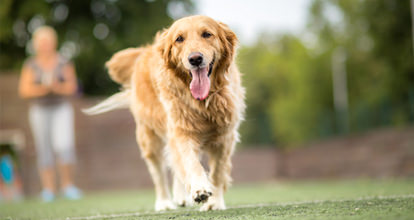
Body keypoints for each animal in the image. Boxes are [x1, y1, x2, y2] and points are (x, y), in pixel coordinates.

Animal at [85, 15, 244, 211]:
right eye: (179, 39)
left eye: (207, 34)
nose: (195, 59)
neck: (203, 101)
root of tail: (145, 51)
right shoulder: (181, 131)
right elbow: (190, 162)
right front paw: (199, 188)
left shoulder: (225, 136)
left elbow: (218, 172)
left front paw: (214, 202)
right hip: (149, 139)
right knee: (159, 173)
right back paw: (165, 203)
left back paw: (181, 197)